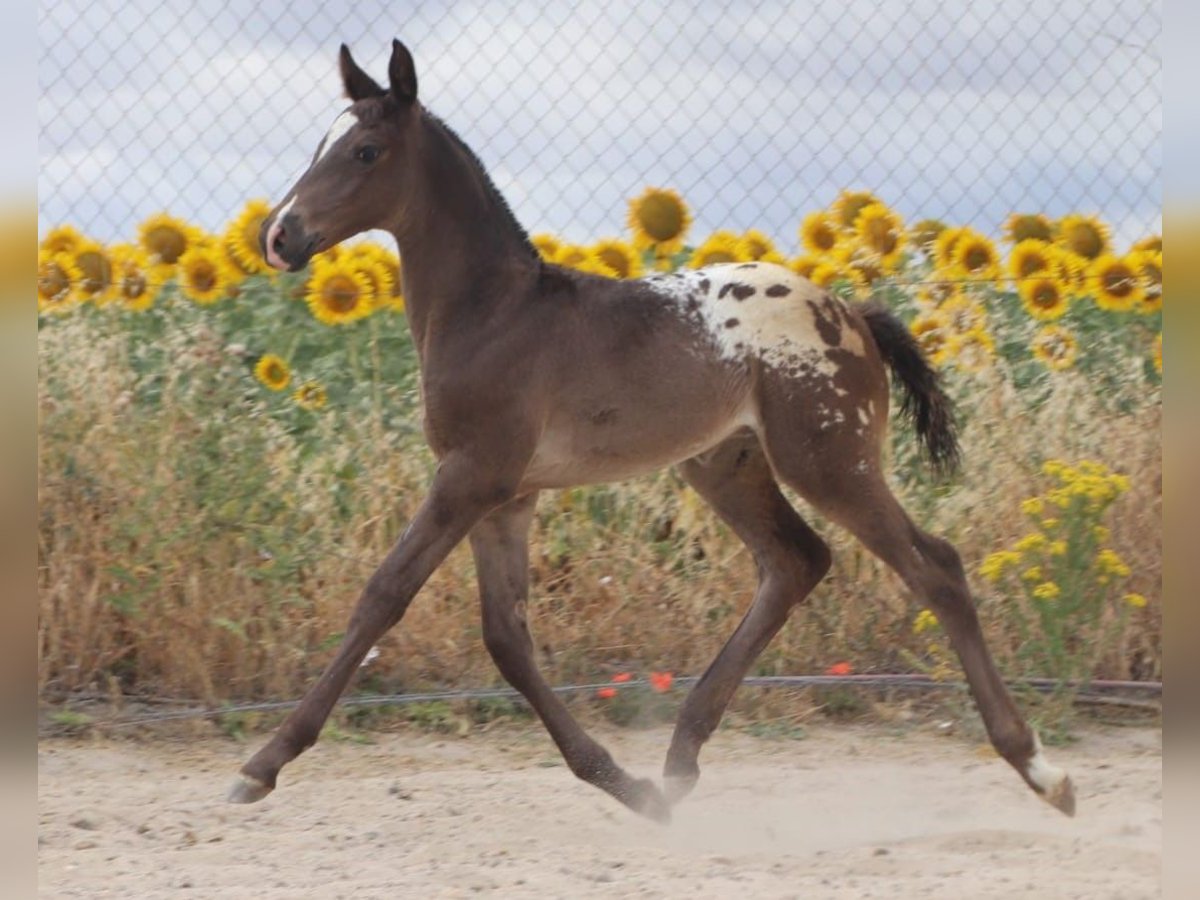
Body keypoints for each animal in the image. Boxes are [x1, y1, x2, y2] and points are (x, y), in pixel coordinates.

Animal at [229, 39, 1075, 823]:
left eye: (365, 150)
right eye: (321, 143)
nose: (278, 237)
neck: (496, 312)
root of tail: (854, 315)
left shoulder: (470, 477)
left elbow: (384, 596)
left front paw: (262, 765)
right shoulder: (506, 495)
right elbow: (506, 637)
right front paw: (622, 782)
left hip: (829, 462)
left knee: (935, 568)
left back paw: (1041, 768)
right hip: (725, 466)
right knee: (796, 561)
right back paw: (677, 760)